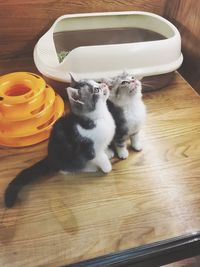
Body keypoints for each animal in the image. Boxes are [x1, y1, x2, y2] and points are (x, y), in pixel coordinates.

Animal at [4, 78, 115, 208]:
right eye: (96, 89)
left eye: (96, 82)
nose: (104, 84)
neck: (99, 117)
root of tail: (50, 157)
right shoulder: (91, 149)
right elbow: (100, 158)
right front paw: (107, 167)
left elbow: (104, 150)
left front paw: (108, 153)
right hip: (70, 158)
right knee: (66, 169)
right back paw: (89, 167)